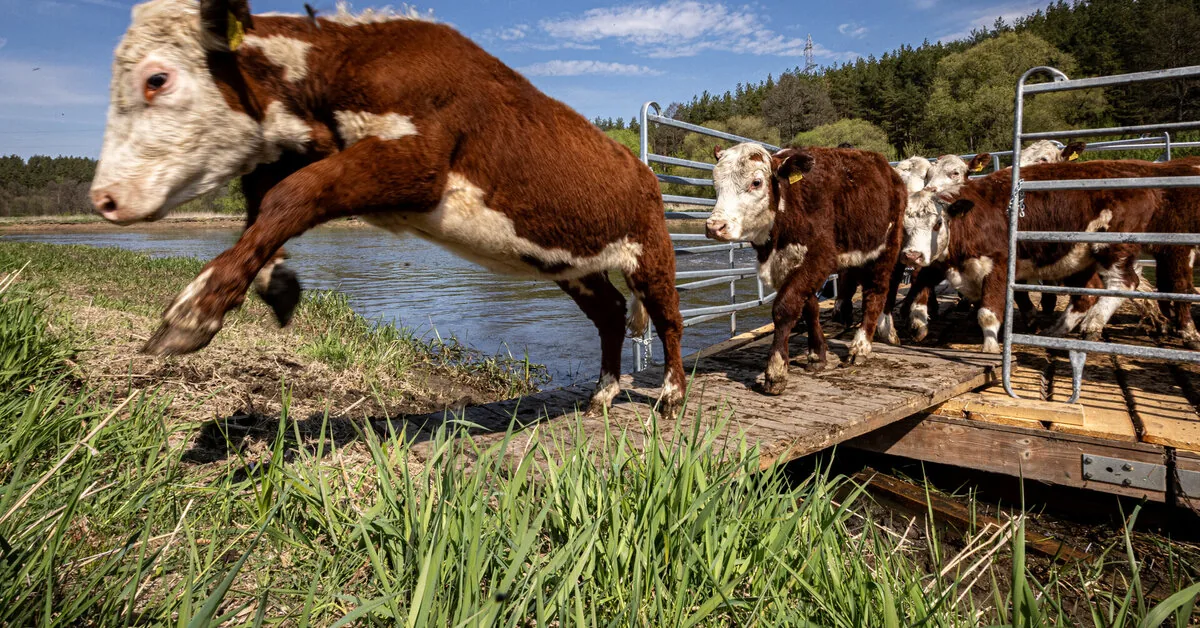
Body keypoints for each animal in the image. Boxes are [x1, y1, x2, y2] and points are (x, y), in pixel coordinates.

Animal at [87, 0, 687, 416]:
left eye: (156, 78)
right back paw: (604, 392)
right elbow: (264, 199)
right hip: (570, 263)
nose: (103, 199)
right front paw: (274, 283)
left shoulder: (415, 164)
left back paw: (672, 394)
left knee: (668, 318)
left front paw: (192, 313)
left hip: (652, 248)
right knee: (611, 312)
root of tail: (640, 167)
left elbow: (291, 193)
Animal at [706, 143, 906, 394]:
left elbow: (785, 307)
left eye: (756, 182)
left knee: (875, 293)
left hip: (886, 247)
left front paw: (776, 371)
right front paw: (817, 355)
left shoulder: (820, 257)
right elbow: (809, 307)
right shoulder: (787, 264)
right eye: (715, 182)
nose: (714, 226)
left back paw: (860, 347)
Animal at [900, 161, 1164, 352]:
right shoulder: (938, 261)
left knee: (1125, 282)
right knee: (1087, 293)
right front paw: (918, 324)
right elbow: (920, 290)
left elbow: (987, 314)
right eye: (904, 227)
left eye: (937, 224)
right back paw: (1057, 330)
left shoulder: (998, 266)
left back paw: (1093, 324)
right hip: (1079, 260)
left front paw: (989, 348)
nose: (911, 255)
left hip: (1112, 248)